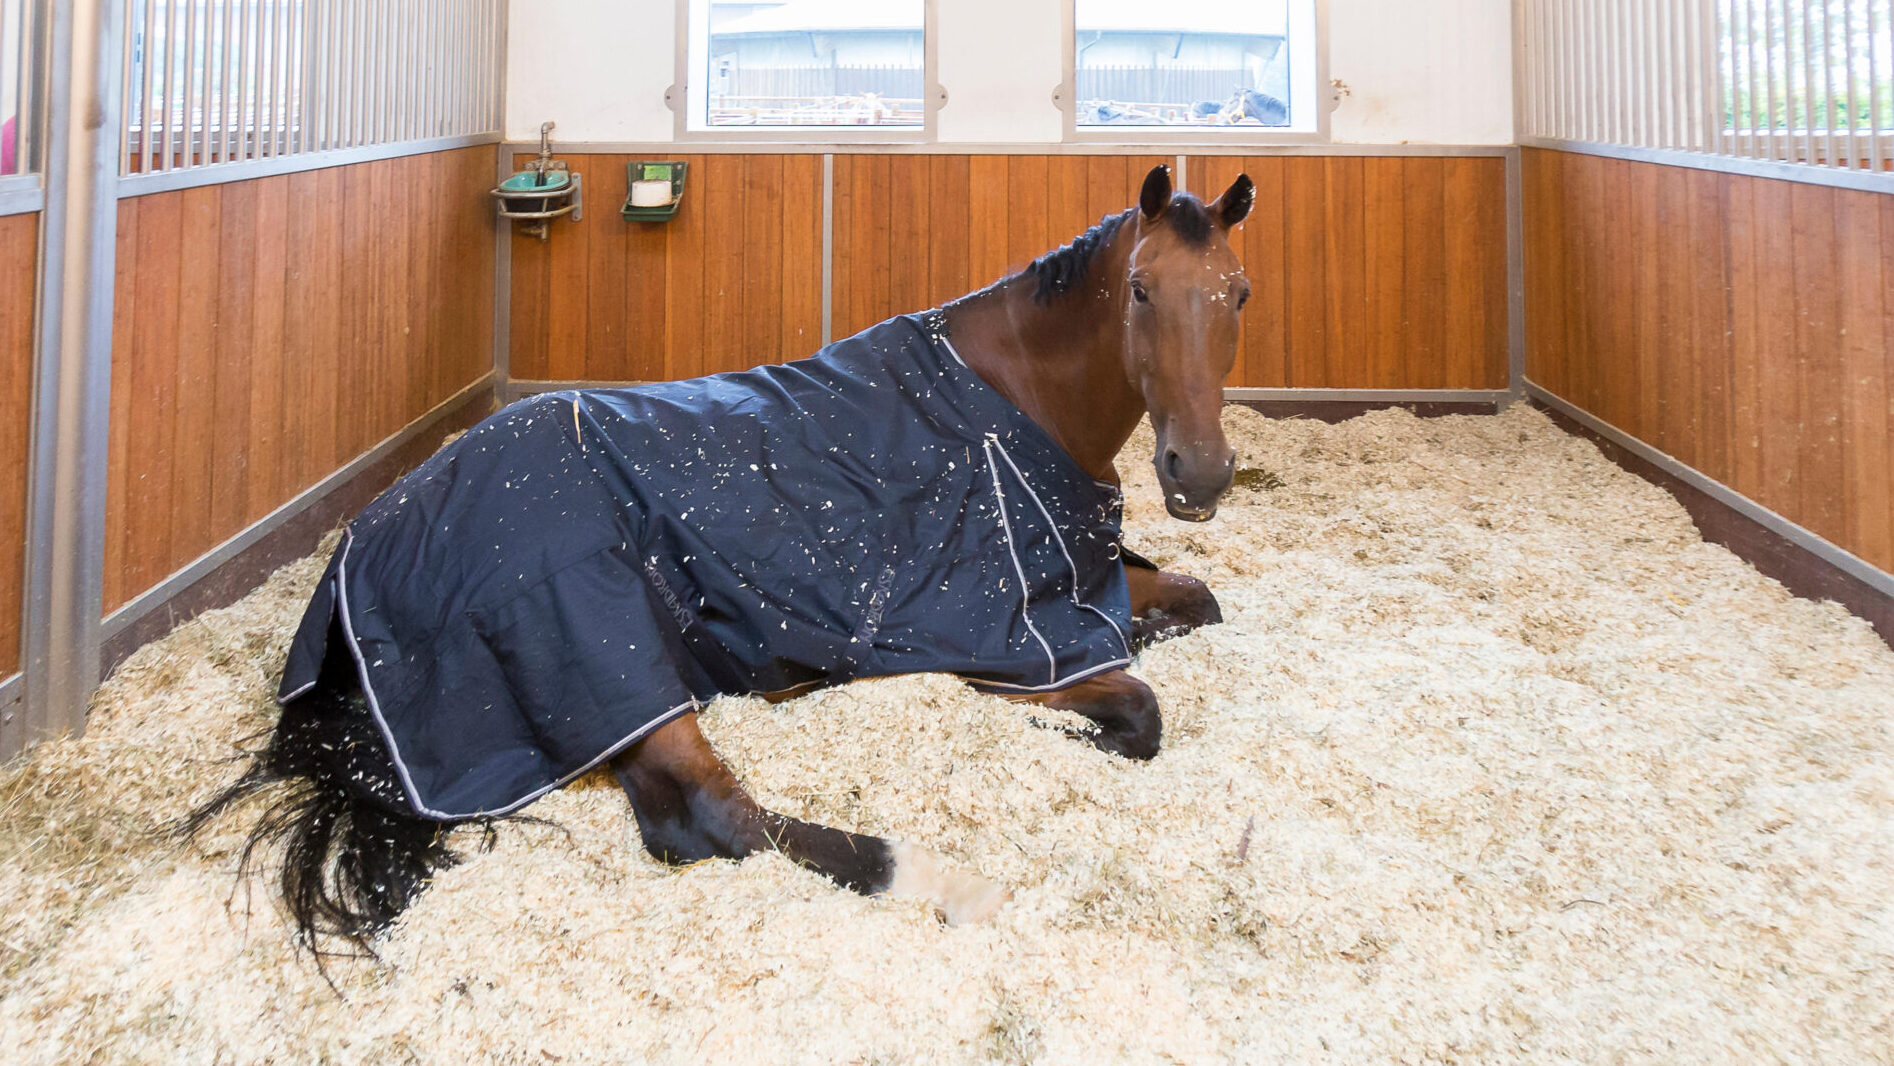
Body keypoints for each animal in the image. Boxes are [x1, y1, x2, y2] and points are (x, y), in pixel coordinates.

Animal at [184, 163, 1256, 956]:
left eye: (1238, 294)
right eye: (1141, 290)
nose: (1200, 474)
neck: (1008, 398)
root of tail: (364, 550)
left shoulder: (1095, 578)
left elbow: (1196, 600)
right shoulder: (1017, 636)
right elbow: (1136, 710)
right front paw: (1041, 718)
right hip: (608, 658)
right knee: (709, 818)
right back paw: (944, 881)